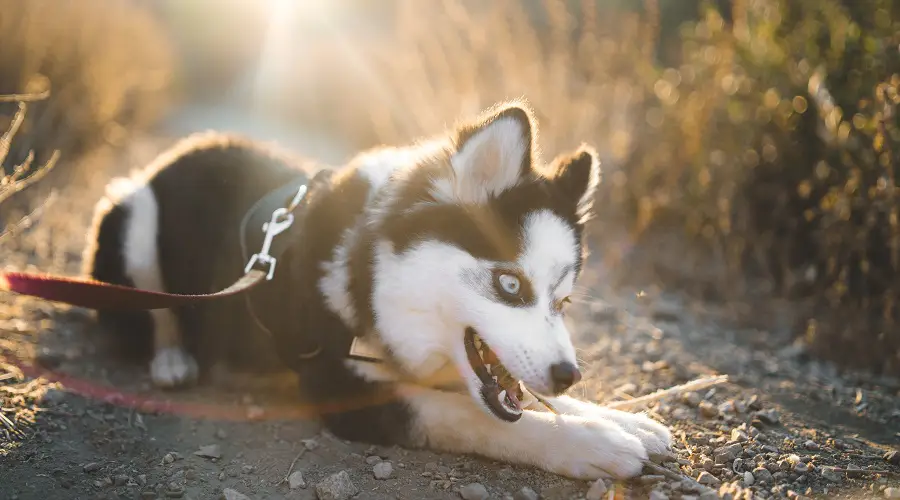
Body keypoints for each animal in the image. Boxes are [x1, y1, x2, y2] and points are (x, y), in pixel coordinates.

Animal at [84, 102, 672, 480]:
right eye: (510, 283)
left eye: (563, 300)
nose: (569, 375)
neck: (372, 272)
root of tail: (185, 148)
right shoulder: (334, 379)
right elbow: (469, 415)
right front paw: (590, 442)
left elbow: (514, 397)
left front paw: (624, 420)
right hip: (131, 214)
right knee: (156, 310)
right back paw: (173, 359)